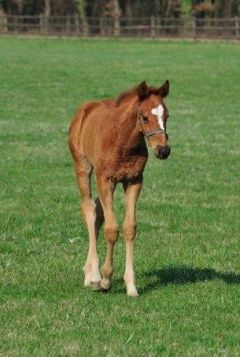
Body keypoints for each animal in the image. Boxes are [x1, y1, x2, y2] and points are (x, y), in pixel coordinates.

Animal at [68, 80, 171, 294]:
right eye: (144, 117)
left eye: (167, 116)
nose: (163, 150)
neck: (124, 142)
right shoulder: (105, 180)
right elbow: (112, 229)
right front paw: (105, 280)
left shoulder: (134, 180)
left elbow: (129, 228)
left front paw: (131, 285)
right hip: (83, 168)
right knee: (89, 209)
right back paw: (93, 275)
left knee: (97, 212)